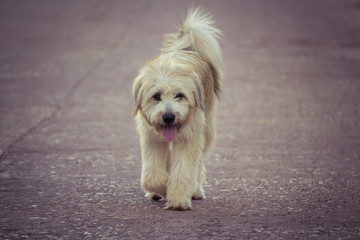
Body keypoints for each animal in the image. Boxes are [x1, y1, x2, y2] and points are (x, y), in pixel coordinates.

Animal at [132, 7, 222, 210]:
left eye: (179, 95)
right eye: (156, 96)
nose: (168, 117)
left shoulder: (189, 138)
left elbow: (184, 170)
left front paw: (179, 199)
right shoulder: (152, 139)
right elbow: (152, 175)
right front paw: (162, 189)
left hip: (206, 130)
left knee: (198, 163)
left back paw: (195, 190)